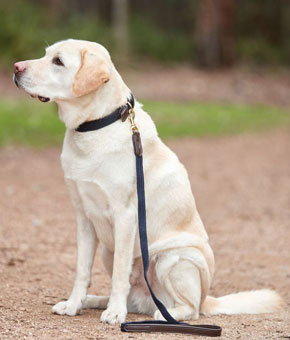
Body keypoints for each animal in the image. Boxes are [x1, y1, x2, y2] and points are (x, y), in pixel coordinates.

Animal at [13, 39, 284, 324]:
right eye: (45, 55)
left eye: (58, 62)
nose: (16, 67)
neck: (95, 126)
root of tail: (206, 298)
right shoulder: (83, 218)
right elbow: (82, 271)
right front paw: (74, 304)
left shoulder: (125, 216)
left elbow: (119, 274)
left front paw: (115, 312)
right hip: (108, 251)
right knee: (134, 296)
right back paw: (95, 300)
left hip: (173, 258)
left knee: (190, 309)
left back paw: (162, 314)